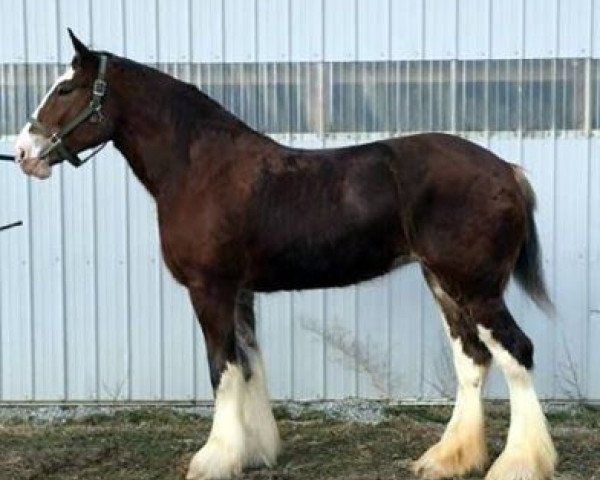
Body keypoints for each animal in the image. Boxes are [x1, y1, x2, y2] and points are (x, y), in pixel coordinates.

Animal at [15, 31, 556, 480]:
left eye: (66, 89)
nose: (23, 152)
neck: (199, 167)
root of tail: (507, 170)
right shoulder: (239, 293)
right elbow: (248, 366)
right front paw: (253, 452)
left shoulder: (210, 289)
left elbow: (221, 368)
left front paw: (214, 460)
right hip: (444, 283)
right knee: (474, 360)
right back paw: (448, 459)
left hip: (475, 287)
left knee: (517, 353)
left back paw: (519, 464)